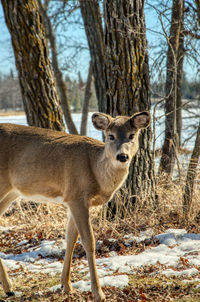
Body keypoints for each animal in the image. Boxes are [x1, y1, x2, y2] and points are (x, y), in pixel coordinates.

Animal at [0, 111, 150, 302]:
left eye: (132, 135)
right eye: (110, 136)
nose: (122, 156)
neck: (96, 172)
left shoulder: (72, 199)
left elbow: (70, 238)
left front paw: (66, 285)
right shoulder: (78, 196)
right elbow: (88, 241)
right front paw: (98, 293)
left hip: (12, 192)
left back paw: (9, 288)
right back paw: (9, 287)